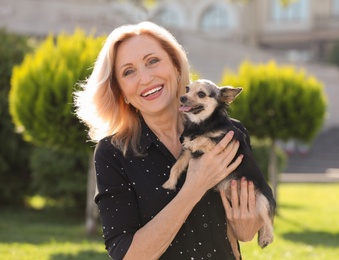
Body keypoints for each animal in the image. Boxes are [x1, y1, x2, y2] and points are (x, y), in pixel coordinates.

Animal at [163, 78, 278, 250]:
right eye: (187, 89)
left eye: (201, 94)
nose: (182, 97)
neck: (202, 124)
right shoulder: (186, 154)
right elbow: (176, 167)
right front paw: (169, 183)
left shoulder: (222, 142)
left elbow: (204, 139)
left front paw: (195, 141)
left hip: (263, 200)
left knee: (268, 222)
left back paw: (266, 237)